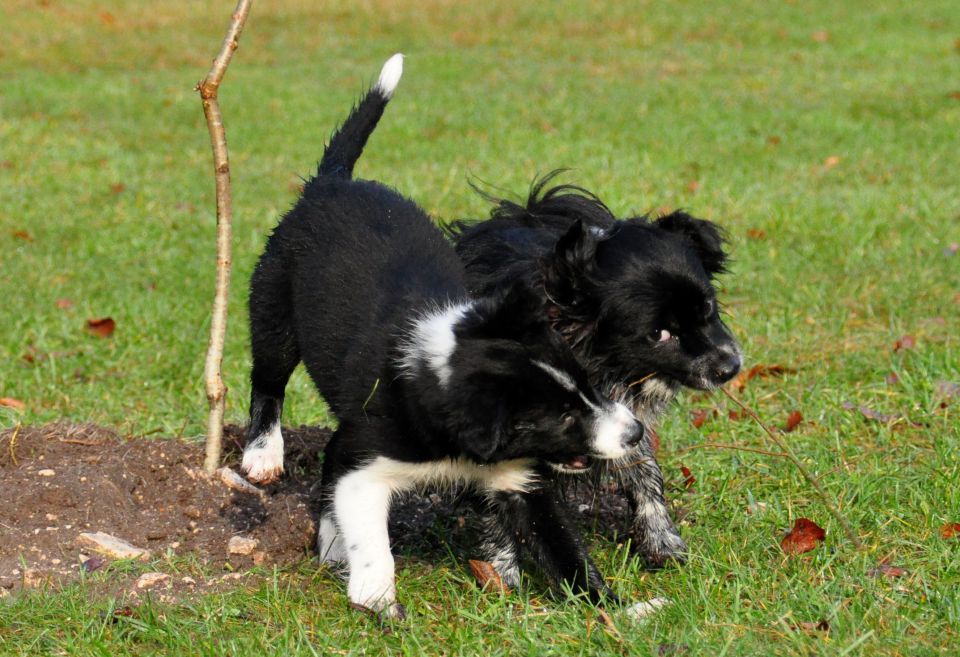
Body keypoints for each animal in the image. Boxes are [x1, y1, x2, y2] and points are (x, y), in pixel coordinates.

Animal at [242, 57, 660, 620]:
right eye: (561, 418)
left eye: (588, 387)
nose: (635, 433)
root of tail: (329, 185)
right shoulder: (369, 462)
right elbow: (372, 537)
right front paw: (378, 597)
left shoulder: (519, 478)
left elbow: (566, 550)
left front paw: (616, 611)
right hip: (273, 304)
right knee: (268, 380)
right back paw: (263, 454)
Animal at [450, 174, 744, 568]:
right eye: (659, 334)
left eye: (708, 307)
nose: (730, 366)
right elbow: (495, 509)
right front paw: (500, 571)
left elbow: (645, 475)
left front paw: (662, 543)